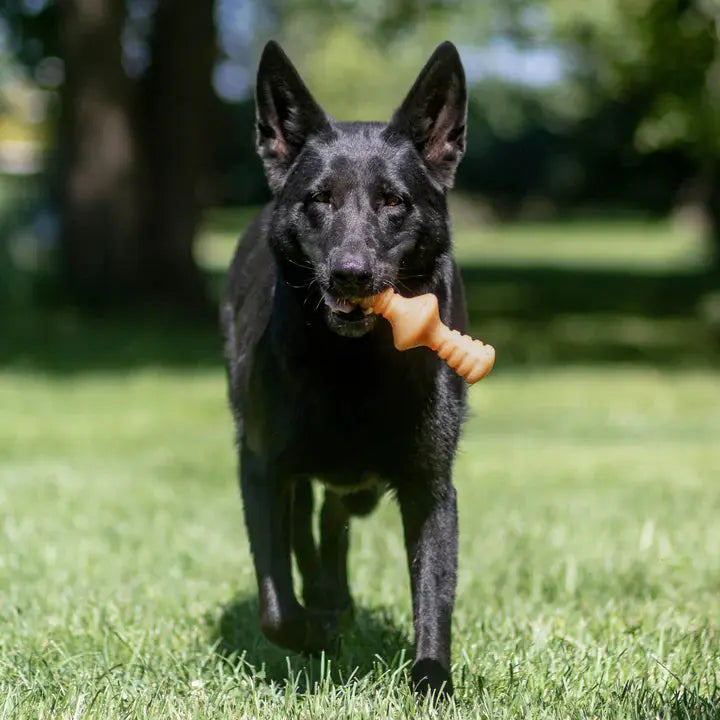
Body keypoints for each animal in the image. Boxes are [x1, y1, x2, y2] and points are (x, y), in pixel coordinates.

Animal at [225, 39, 470, 696]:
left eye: (393, 202)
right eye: (320, 199)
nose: (351, 275)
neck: (352, 365)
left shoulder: (429, 485)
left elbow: (433, 596)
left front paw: (432, 682)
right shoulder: (262, 468)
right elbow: (277, 606)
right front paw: (314, 632)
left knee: (338, 514)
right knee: (310, 529)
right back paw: (327, 605)